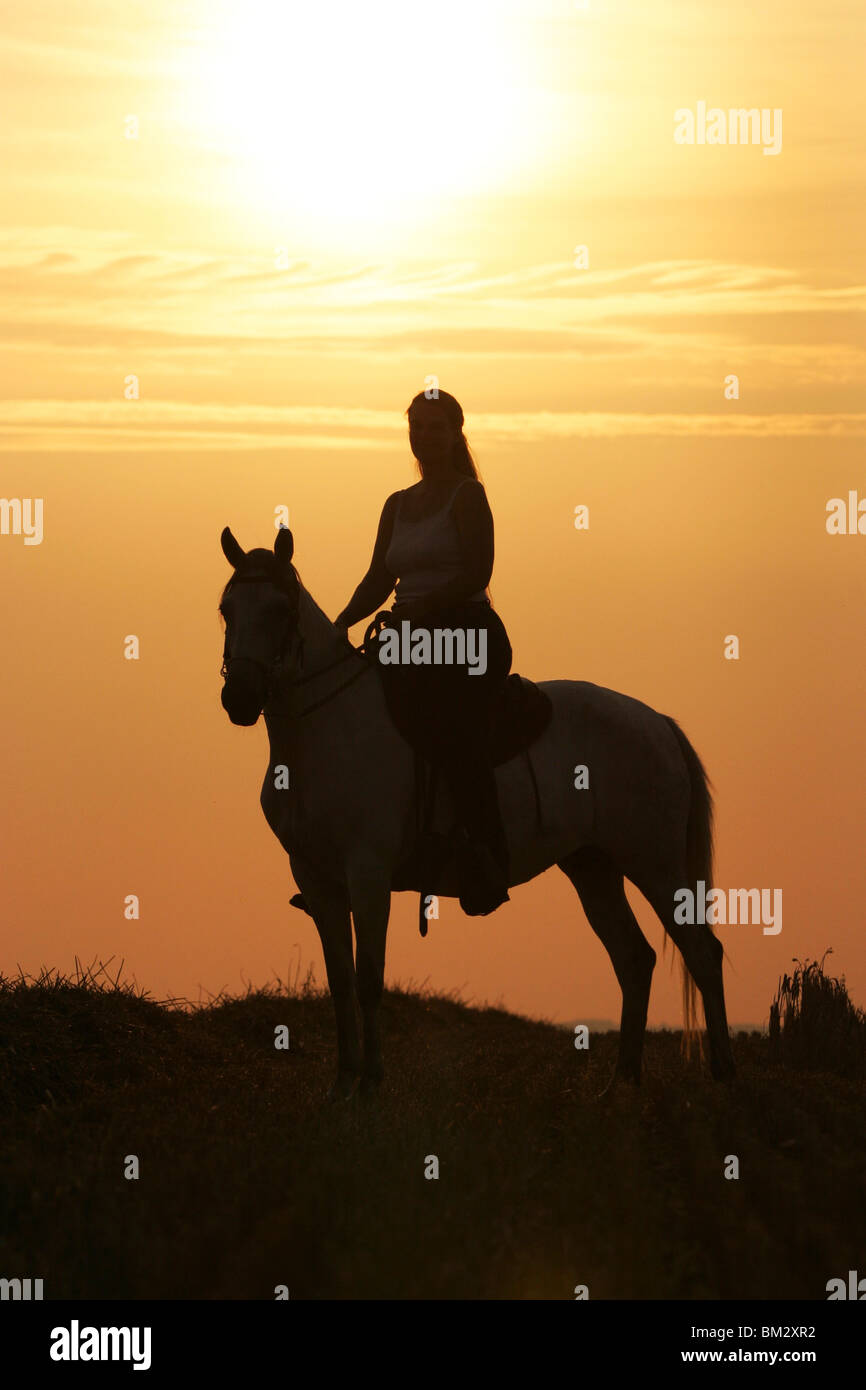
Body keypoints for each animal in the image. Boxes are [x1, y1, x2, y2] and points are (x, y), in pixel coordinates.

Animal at [219, 525, 733, 1100]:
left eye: (281, 610)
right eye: (227, 609)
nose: (239, 698)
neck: (324, 732)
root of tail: (658, 723)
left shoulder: (368, 873)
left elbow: (369, 978)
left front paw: (371, 1084)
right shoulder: (315, 878)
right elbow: (340, 983)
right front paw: (341, 1085)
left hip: (655, 863)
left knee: (702, 951)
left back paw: (722, 1075)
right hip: (593, 867)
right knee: (634, 959)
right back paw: (619, 1085)